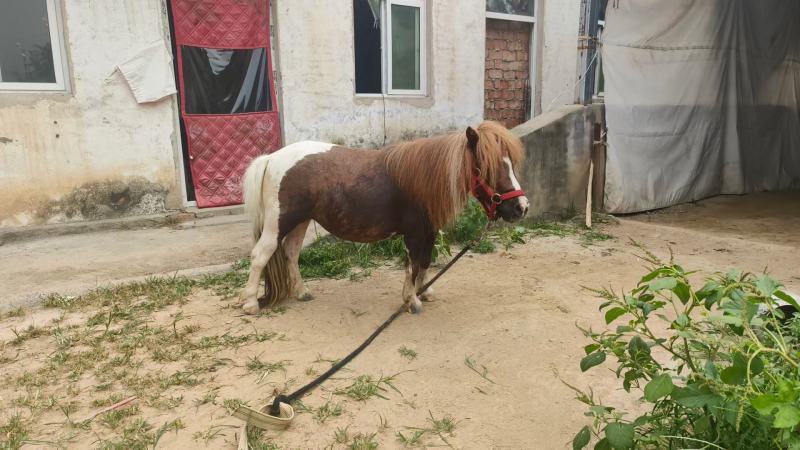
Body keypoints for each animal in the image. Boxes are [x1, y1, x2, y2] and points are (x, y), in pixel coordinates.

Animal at [239, 121, 529, 315]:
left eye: (510, 163)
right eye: (487, 167)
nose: (521, 207)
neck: (423, 179)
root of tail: (272, 158)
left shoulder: (428, 232)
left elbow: (424, 262)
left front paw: (424, 291)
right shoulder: (414, 234)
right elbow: (413, 266)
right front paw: (411, 300)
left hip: (301, 221)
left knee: (290, 252)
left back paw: (301, 292)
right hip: (280, 222)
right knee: (261, 255)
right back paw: (251, 303)